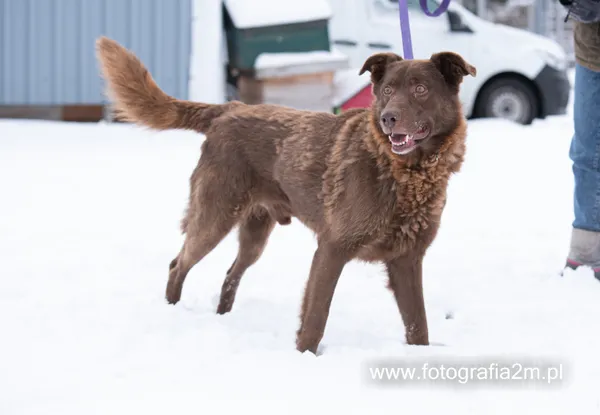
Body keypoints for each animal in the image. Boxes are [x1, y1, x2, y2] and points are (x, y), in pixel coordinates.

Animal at [96, 36, 476, 354]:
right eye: (386, 90)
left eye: (421, 89)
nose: (388, 118)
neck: (402, 172)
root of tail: (228, 108)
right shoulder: (332, 249)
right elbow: (315, 319)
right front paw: (305, 357)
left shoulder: (407, 260)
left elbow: (418, 326)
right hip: (214, 218)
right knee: (179, 264)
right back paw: (173, 310)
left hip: (254, 234)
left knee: (231, 273)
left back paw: (223, 318)